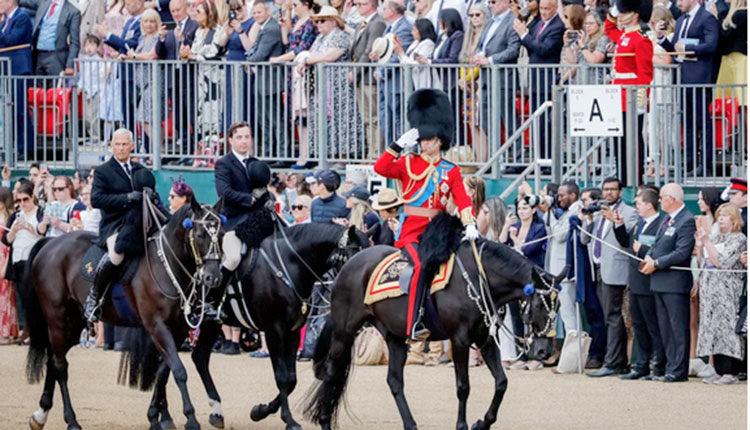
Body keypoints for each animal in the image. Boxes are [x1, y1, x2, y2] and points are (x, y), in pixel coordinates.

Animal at [25, 201, 223, 430]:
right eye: (199, 235)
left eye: (221, 234)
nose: (213, 277)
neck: (166, 266)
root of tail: (50, 243)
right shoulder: (156, 326)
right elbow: (179, 371)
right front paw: (190, 418)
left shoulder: (178, 330)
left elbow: (164, 372)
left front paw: (154, 416)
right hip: (57, 318)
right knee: (60, 365)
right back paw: (71, 420)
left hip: (72, 323)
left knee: (54, 360)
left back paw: (40, 414)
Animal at [152, 222, 370, 430]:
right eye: (354, 256)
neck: (289, 264)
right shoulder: (275, 331)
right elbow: (282, 377)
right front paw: (288, 420)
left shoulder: (292, 333)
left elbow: (291, 380)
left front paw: (260, 411)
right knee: (168, 364)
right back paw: (164, 416)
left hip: (208, 325)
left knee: (192, 359)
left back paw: (206, 413)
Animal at [304, 217, 564, 430]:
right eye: (539, 305)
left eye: (558, 306)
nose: (544, 351)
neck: (478, 279)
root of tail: (349, 265)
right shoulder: (460, 340)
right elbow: (463, 386)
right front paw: (462, 425)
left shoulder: (486, 339)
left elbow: (501, 383)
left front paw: (482, 423)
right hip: (344, 331)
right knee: (331, 372)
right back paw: (325, 421)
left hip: (394, 337)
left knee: (394, 381)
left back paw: (410, 425)